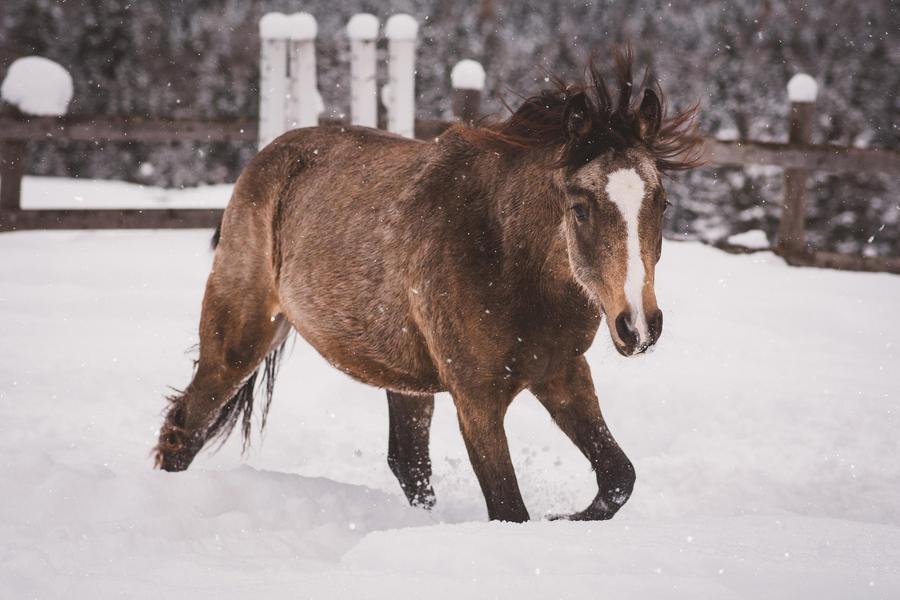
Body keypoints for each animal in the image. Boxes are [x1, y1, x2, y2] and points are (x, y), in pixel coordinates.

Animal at [154, 49, 701, 522]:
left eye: (662, 204)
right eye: (581, 208)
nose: (638, 326)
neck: (506, 255)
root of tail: (262, 162)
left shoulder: (561, 372)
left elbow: (618, 477)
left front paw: (565, 517)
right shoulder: (477, 397)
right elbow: (510, 510)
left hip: (403, 375)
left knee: (409, 464)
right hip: (239, 337)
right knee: (185, 427)